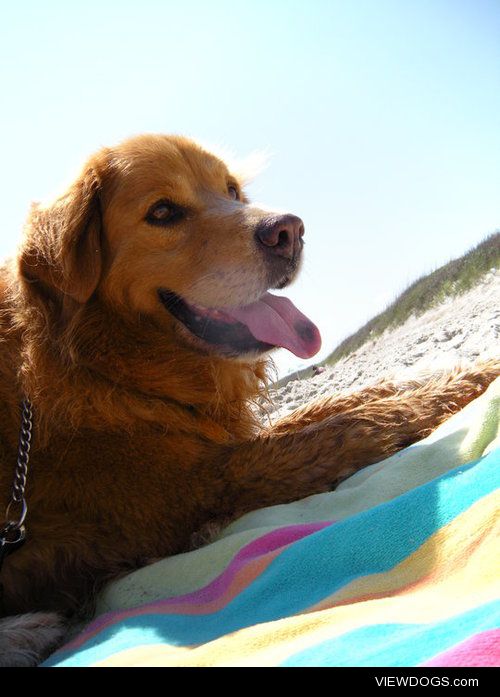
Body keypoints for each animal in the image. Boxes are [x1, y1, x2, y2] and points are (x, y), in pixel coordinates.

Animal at [0, 136, 496, 664]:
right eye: (162, 212)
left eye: (232, 191)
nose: (290, 231)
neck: (106, 363)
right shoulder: (192, 486)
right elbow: (349, 428)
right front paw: (449, 390)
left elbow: (337, 405)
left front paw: (450, 370)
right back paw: (28, 630)